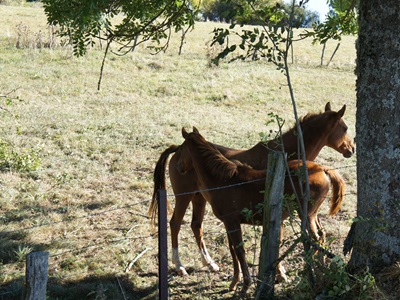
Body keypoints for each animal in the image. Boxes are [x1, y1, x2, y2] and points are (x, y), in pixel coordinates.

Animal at [149, 102, 354, 276]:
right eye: (345, 128)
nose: (351, 150)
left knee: (196, 225)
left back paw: (210, 263)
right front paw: (279, 272)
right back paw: (180, 266)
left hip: (199, 198)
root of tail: (177, 149)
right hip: (184, 196)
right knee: (175, 224)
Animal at [175, 127, 346, 294]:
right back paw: (320, 269)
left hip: (306, 214)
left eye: (182, 149)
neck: (223, 181)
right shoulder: (228, 223)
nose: (179, 168)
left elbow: (240, 251)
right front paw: (234, 282)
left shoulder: (232, 223)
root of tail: (321, 168)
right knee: (321, 236)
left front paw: (245, 285)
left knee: (316, 238)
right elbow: (233, 250)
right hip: (312, 215)